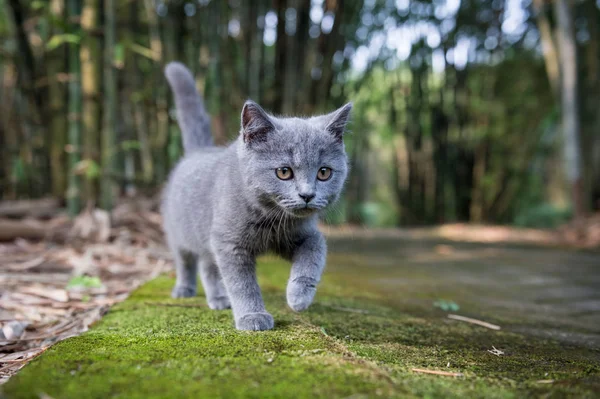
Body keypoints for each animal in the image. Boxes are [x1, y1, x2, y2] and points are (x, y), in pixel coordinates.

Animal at [163, 62, 352, 332]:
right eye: (284, 172)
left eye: (324, 172)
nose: (307, 195)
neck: (270, 217)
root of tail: (198, 151)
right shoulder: (229, 242)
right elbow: (242, 284)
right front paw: (252, 316)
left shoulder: (302, 233)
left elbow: (315, 251)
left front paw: (299, 296)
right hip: (179, 231)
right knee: (185, 260)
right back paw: (185, 288)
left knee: (208, 265)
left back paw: (218, 298)